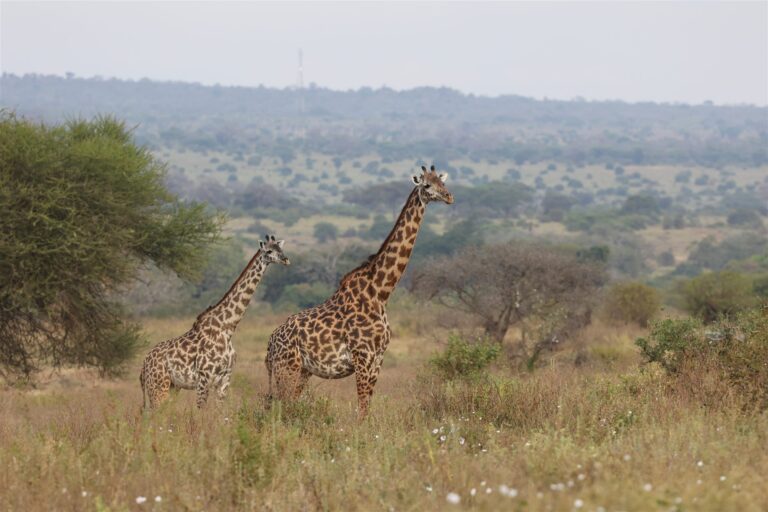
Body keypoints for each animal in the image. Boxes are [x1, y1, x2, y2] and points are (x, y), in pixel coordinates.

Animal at [140, 235, 290, 409]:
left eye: (281, 249)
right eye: (269, 251)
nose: (286, 260)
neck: (227, 328)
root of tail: (144, 364)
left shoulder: (225, 380)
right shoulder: (203, 379)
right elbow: (201, 411)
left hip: (172, 386)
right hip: (158, 387)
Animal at [265, 166, 453, 419]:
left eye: (442, 182)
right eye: (426, 185)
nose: (449, 197)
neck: (381, 291)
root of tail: (270, 344)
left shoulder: (378, 358)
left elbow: (366, 406)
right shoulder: (362, 356)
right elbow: (362, 409)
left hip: (302, 370)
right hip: (287, 368)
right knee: (279, 405)